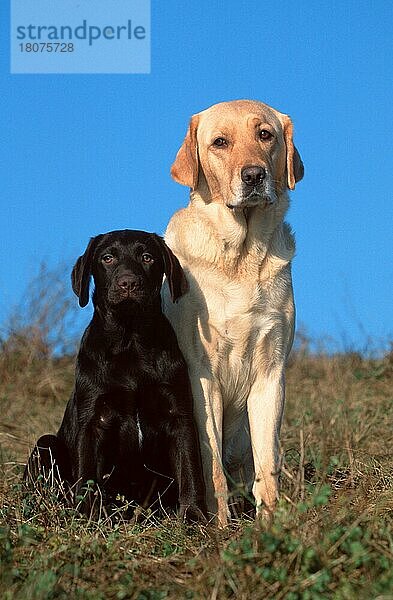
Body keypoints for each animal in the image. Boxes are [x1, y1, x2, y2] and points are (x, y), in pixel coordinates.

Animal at [25, 230, 205, 520]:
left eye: (147, 257)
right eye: (107, 258)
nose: (128, 283)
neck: (130, 342)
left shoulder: (179, 416)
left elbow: (190, 471)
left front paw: (193, 516)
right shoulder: (93, 420)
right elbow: (87, 475)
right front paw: (88, 515)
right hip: (46, 445)